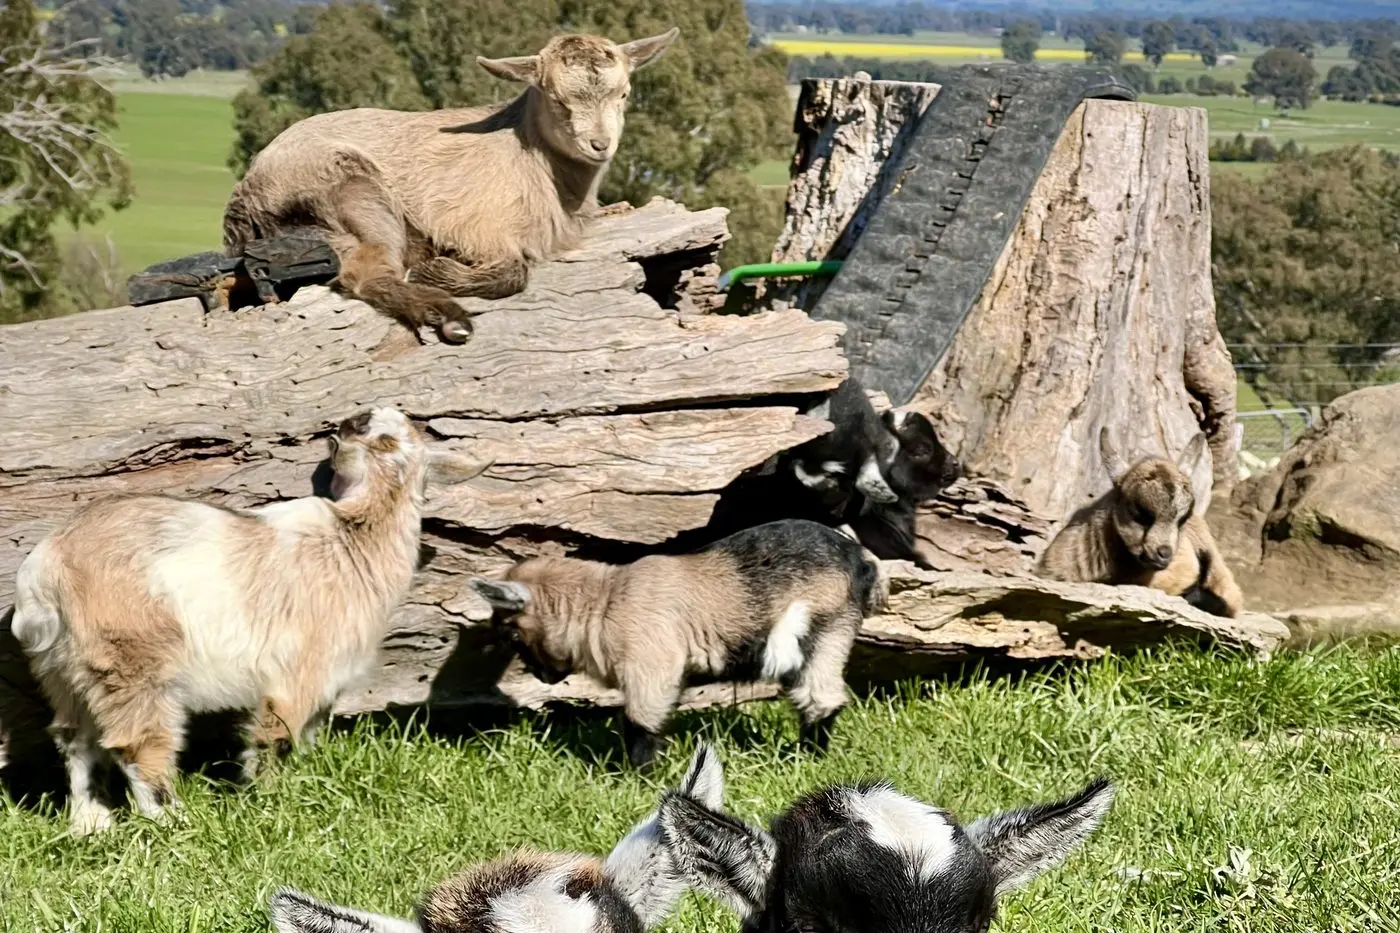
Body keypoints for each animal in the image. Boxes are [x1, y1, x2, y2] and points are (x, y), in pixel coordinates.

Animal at [11, 407, 490, 835]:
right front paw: (270, 803)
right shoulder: (299, 672)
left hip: (64, 668)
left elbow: (306, 735)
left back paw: (92, 826)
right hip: (132, 656)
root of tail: (46, 571)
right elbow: (278, 736)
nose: (354, 421)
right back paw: (176, 822)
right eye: (382, 439)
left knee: (75, 738)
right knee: (136, 742)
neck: (352, 538)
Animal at [222, 29, 679, 345]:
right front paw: (437, 269)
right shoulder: (477, 225)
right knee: (365, 273)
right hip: (350, 188)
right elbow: (515, 273)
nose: (600, 145)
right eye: (557, 100)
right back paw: (447, 314)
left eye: (624, 94)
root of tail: (246, 192)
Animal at [469, 519, 884, 770]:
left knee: (821, 697)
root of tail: (859, 558)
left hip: (825, 630)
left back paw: (808, 758)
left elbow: (641, 720)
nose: (539, 675)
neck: (604, 601)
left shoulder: (650, 665)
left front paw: (638, 776)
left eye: (512, 634)